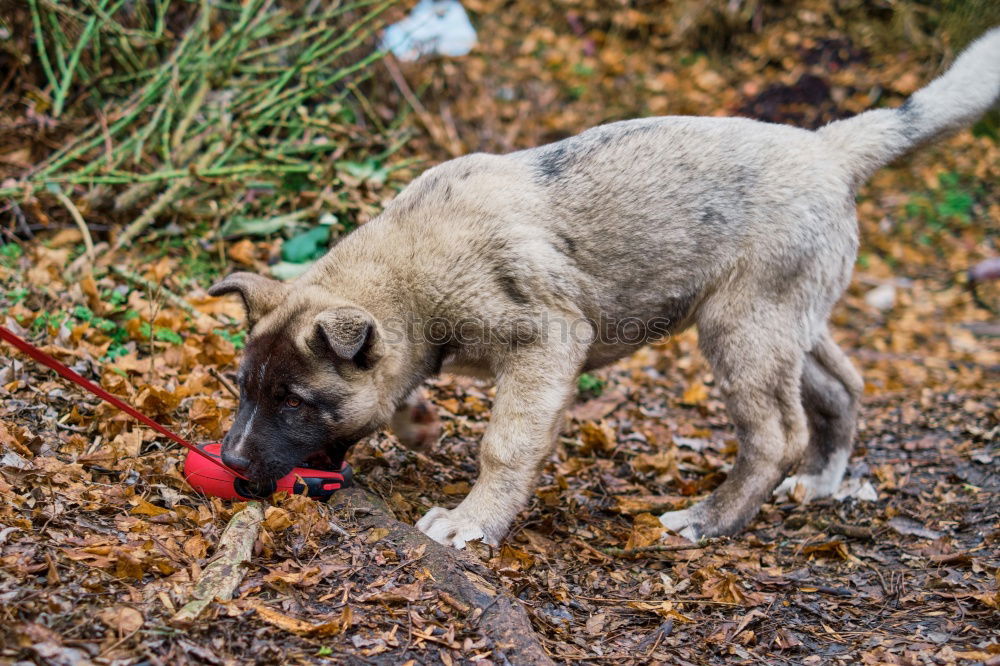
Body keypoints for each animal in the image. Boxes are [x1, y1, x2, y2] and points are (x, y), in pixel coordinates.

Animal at [209, 28, 1000, 544]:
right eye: (244, 391)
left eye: (295, 403)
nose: (232, 463)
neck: (412, 267)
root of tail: (827, 147)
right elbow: (402, 390)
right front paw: (416, 423)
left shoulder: (545, 343)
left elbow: (504, 446)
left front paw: (470, 523)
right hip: (785, 321)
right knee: (842, 386)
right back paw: (826, 481)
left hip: (742, 329)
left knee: (776, 435)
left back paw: (709, 521)